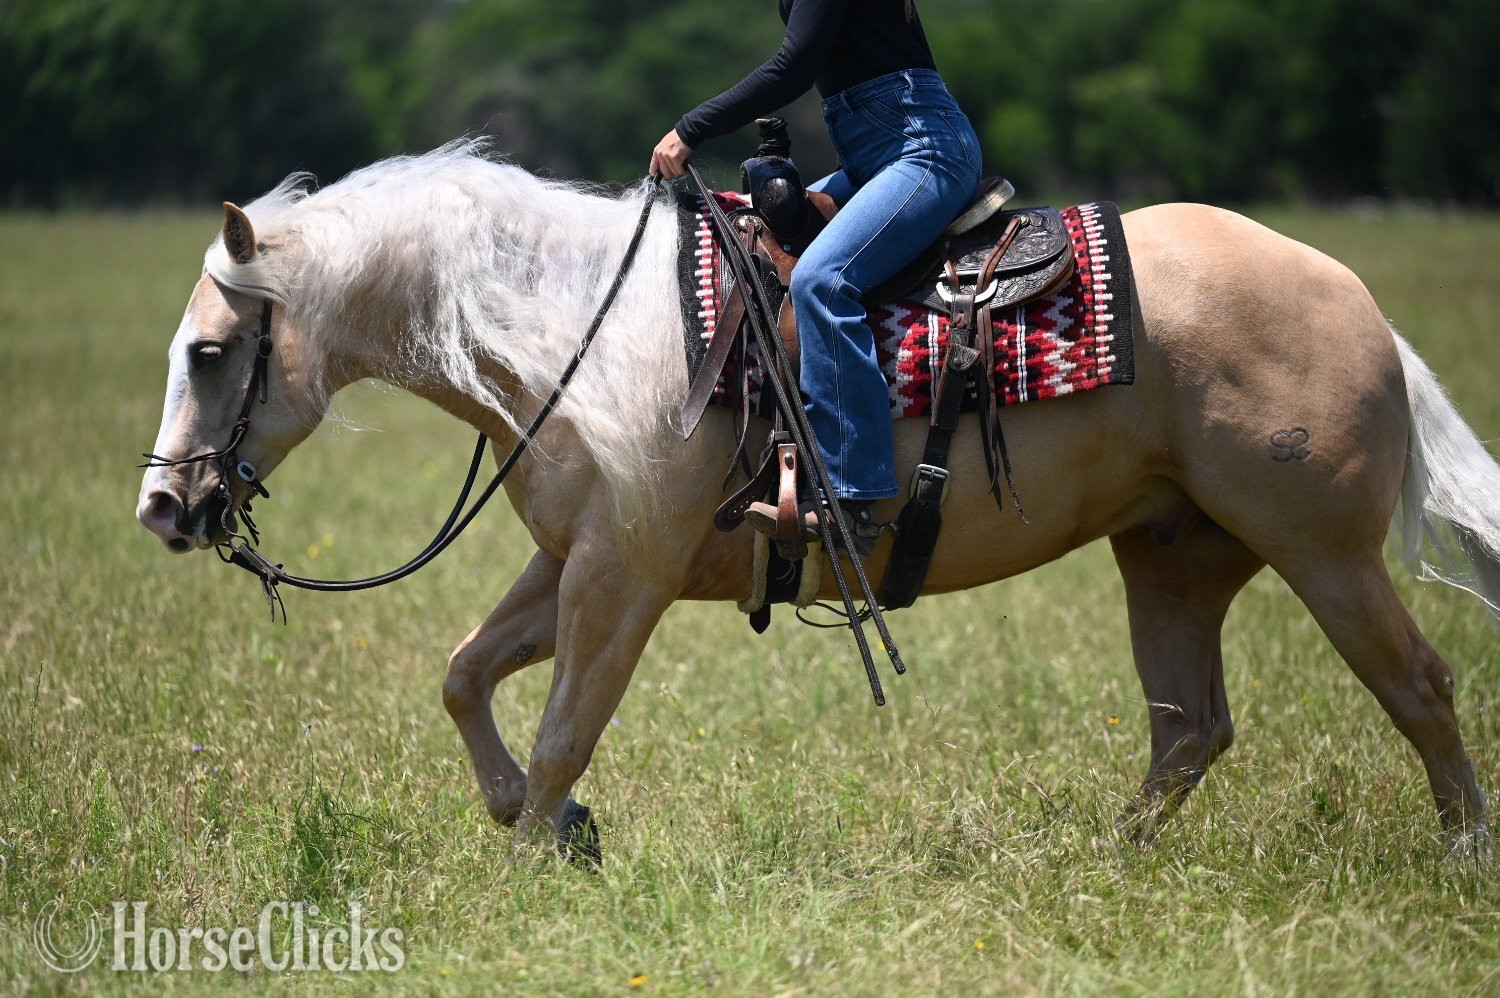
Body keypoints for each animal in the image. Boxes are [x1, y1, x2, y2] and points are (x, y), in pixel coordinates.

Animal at [136, 142, 1497, 859]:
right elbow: (466, 674)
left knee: (1419, 687)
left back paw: (1462, 850)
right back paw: (1106, 859)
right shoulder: (575, 558)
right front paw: (544, 822)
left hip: (1324, 552)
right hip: (1172, 554)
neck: (579, 329)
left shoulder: (622, 575)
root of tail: (1356, 299)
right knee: (1189, 731)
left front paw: (530, 853)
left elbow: (565, 723)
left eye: (208, 352)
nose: (162, 510)